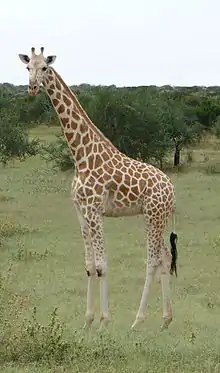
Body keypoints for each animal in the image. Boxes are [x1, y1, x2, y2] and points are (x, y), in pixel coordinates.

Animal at [18, 46, 178, 328]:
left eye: (45, 67)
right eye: (28, 67)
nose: (33, 87)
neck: (80, 156)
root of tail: (171, 189)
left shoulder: (95, 211)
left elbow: (102, 264)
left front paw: (104, 321)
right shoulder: (81, 212)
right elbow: (89, 265)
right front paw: (88, 321)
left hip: (153, 215)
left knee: (153, 260)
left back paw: (137, 321)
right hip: (156, 217)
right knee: (165, 258)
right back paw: (165, 320)